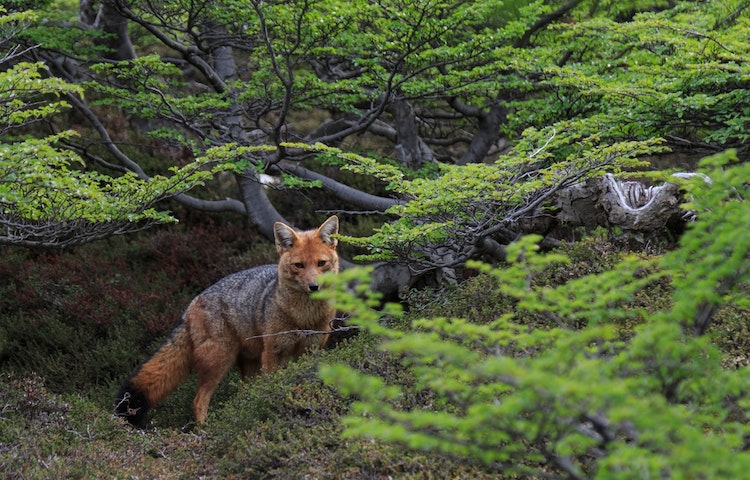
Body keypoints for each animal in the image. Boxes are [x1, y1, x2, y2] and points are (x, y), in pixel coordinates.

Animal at [114, 215, 340, 426]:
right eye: (299, 265)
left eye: (321, 263)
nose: (314, 286)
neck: (303, 316)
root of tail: (192, 302)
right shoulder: (273, 352)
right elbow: (271, 386)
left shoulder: (310, 350)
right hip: (220, 359)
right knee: (198, 400)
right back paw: (205, 430)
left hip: (247, 363)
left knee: (244, 394)